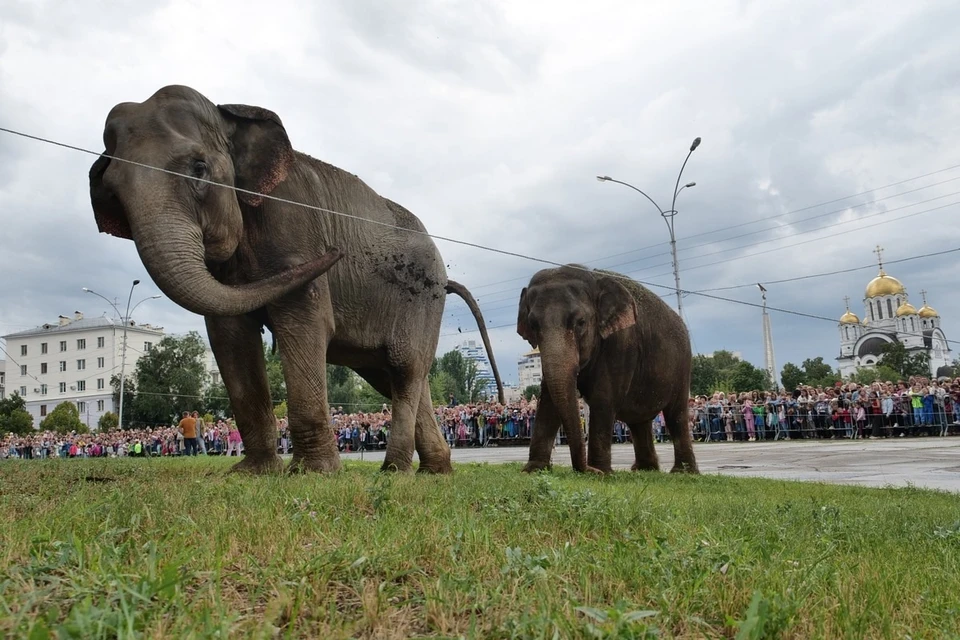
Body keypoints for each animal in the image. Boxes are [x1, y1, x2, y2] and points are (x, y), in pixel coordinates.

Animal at [90, 84, 506, 476]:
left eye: (198, 168)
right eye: (112, 191)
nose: (336, 251)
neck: (229, 115)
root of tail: (446, 280)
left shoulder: (294, 228)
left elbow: (303, 321)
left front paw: (314, 473)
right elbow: (230, 336)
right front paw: (252, 473)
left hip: (420, 300)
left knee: (403, 370)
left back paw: (395, 471)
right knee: (398, 376)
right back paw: (434, 470)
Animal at [516, 264, 696, 476]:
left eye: (580, 322)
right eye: (533, 325)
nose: (585, 470)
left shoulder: (621, 343)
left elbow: (603, 398)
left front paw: (601, 472)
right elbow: (548, 400)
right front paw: (532, 469)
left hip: (682, 367)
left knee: (676, 415)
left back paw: (683, 472)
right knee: (639, 421)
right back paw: (645, 469)